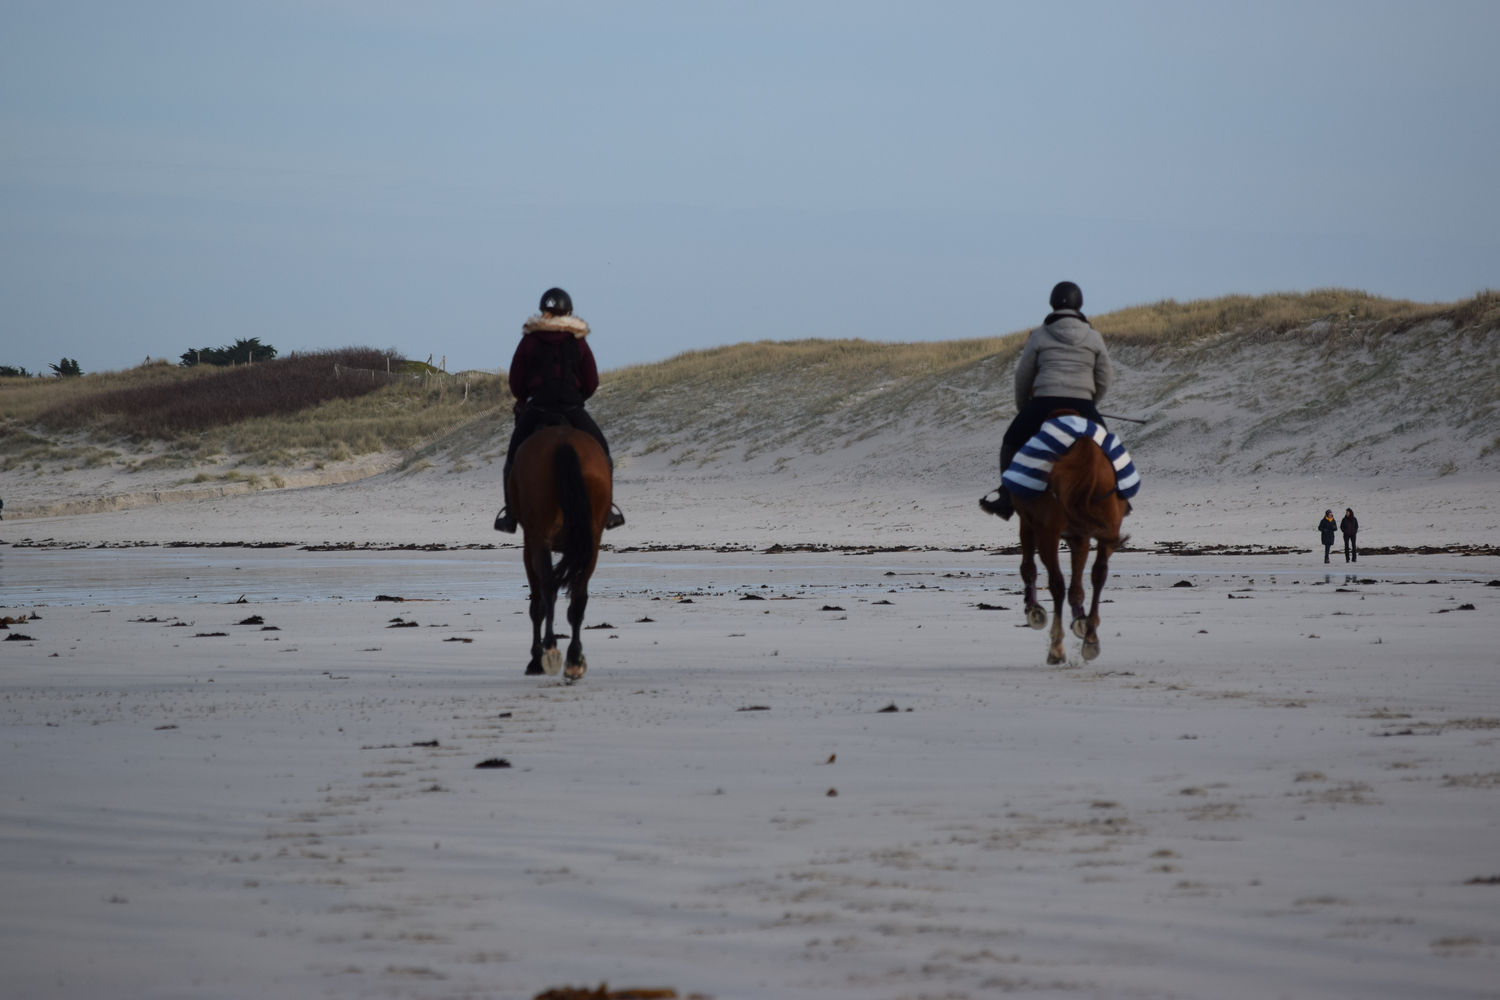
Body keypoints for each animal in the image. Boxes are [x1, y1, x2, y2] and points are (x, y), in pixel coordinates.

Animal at [513, 425, 612, 683]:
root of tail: (563, 440)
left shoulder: (530, 544)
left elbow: (537, 605)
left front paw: (535, 659)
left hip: (540, 538)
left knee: (548, 590)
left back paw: (549, 651)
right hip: (592, 542)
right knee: (579, 597)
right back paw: (574, 660)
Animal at [1014, 434, 1128, 665]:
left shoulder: (1029, 522)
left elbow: (1028, 566)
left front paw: (1034, 609)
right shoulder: (1080, 535)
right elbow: (1078, 585)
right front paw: (1080, 619)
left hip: (1048, 532)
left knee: (1056, 583)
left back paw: (1056, 647)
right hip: (1108, 524)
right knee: (1099, 573)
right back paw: (1090, 638)